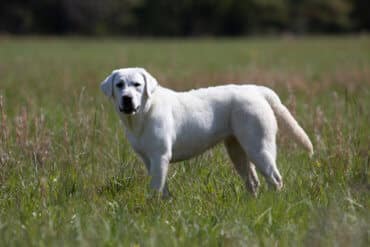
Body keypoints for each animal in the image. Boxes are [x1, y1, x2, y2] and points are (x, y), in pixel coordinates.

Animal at [99, 67, 314, 197]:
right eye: (119, 85)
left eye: (137, 85)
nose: (127, 98)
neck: (144, 112)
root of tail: (256, 90)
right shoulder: (149, 160)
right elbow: (163, 188)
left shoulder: (160, 156)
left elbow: (155, 189)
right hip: (237, 150)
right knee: (253, 181)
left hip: (259, 147)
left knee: (275, 179)